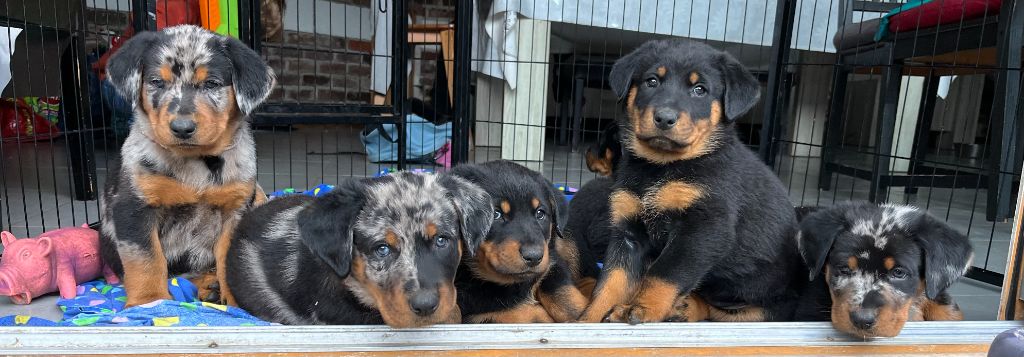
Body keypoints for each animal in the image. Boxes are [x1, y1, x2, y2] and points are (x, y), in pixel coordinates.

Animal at [99, 24, 274, 306]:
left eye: (212, 83)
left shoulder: (236, 208)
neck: (197, 164)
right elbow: (146, 259)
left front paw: (236, 299)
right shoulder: (134, 207)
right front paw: (150, 301)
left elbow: (229, 258)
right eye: (156, 82)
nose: (182, 128)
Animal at [450, 161, 593, 323]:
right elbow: (518, 313)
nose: (534, 257)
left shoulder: (552, 263)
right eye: (495, 214)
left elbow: (562, 293)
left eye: (540, 214)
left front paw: (586, 315)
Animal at [577, 38, 806, 323]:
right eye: (652, 81)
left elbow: (664, 273)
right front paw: (585, 320)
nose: (664, 118)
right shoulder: (627, 233)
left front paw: (641, 308)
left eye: (700, 90)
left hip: (763, 306)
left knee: (722, 312)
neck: (661, 167)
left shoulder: (703, 229)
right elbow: (610, 283)